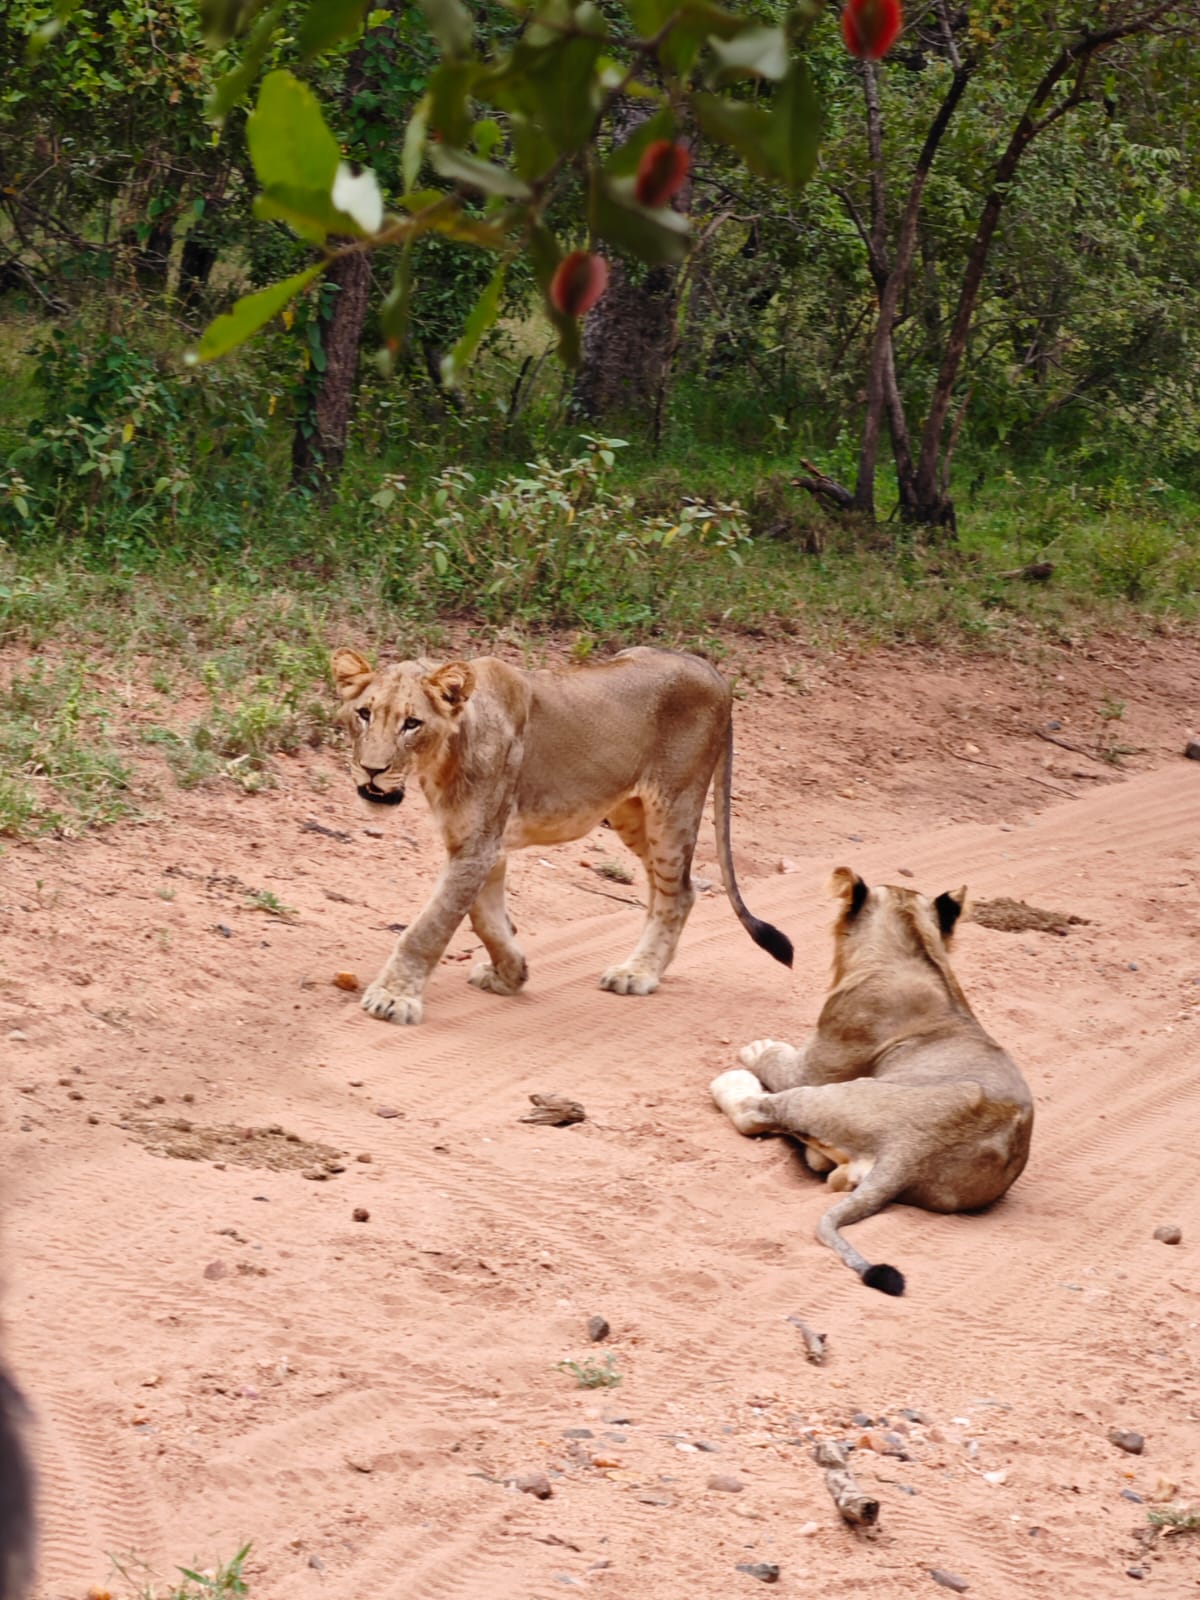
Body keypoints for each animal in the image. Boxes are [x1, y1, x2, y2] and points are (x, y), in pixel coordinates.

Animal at [334, 640, 793, 1024]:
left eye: (411, 723)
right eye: (364, 714)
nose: (371, 769)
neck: (441, 759)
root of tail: (710, 669)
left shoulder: (478, 846)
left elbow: (430, 926)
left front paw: (394, 998)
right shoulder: (480, 844)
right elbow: (486, 919)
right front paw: (511, 974)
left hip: (675, 804)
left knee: (677, 892)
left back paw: (637, 973)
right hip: (633, 815)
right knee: (670, 889)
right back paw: (647, 965)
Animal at [713, 870, 1036, 1292]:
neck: (916, 950)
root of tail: (910, 1153)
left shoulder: (816, 1065)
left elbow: (777, 1061)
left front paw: (760, 1048)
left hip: (823, 1095)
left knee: (756, 1112)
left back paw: (732, 1081)